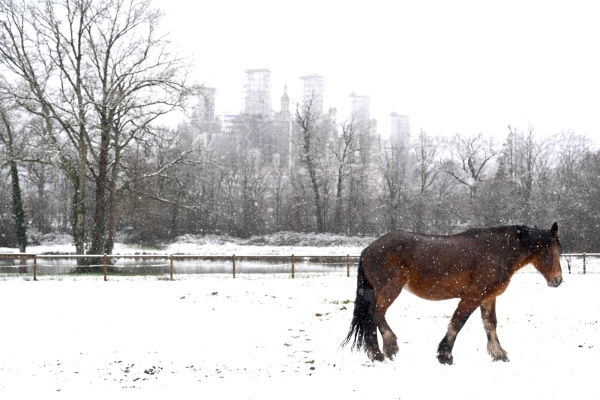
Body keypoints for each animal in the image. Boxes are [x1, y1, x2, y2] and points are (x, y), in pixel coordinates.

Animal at [342, 223, 564, 364]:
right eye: (554, 250)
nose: (558, 280)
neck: (497, 250)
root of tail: (369, 248)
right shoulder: (472, 296)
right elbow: (458, 322)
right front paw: (445, 355)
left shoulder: (488, 298)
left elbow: (490, 324)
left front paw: (499, 354)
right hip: (390, 289)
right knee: (376, 313)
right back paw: (389, 347)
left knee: (371, 318)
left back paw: (376, 354)